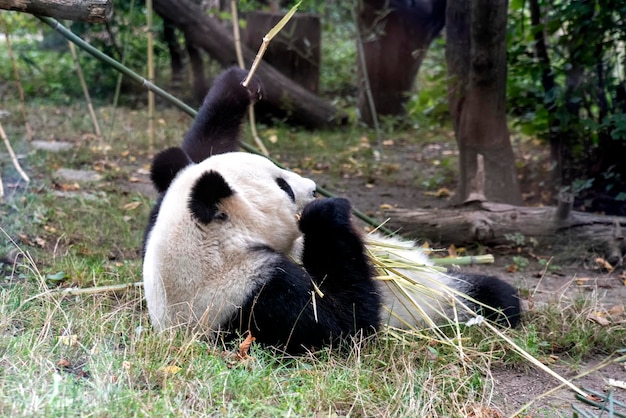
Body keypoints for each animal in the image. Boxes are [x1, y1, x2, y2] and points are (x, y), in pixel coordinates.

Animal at [141, 68, 516, 352]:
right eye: (283, 186)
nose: (313, 187)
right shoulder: (254, 296)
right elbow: (348, 326)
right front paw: (325, 215)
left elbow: (196, 153)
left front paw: (240, 84)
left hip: (448, 284)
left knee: (481, 290)